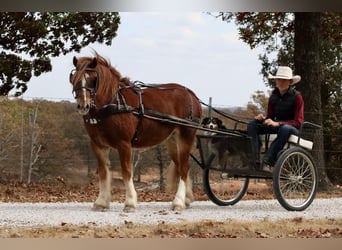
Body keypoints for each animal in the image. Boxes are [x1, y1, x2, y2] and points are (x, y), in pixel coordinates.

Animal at [69, 51, 203, 212]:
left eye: (93, 79)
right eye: (73, 78)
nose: (83, 105)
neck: (113, 104)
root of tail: (191, 94)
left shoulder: (124, 144)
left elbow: (126, 172)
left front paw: (130, 202)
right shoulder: (98, 145)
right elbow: (103, 172)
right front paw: (101, 202)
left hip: (186, 135)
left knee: (183, 168)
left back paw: (178, 202)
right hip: (172, 140)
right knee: (183, 166)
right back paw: (187, 199)